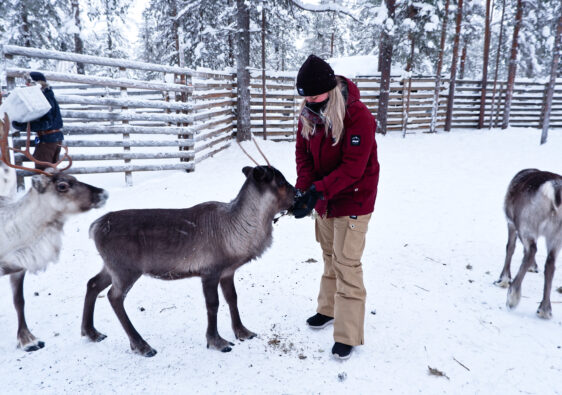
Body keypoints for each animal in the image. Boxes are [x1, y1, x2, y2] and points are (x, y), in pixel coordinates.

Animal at [494, 168, 560, 318]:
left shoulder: (511, 223)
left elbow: (510, 248)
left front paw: (503, 279)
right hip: (556, 235)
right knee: (550, 263)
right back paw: (544, 309)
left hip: (527, 224)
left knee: (531, 251)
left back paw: (513, 297)